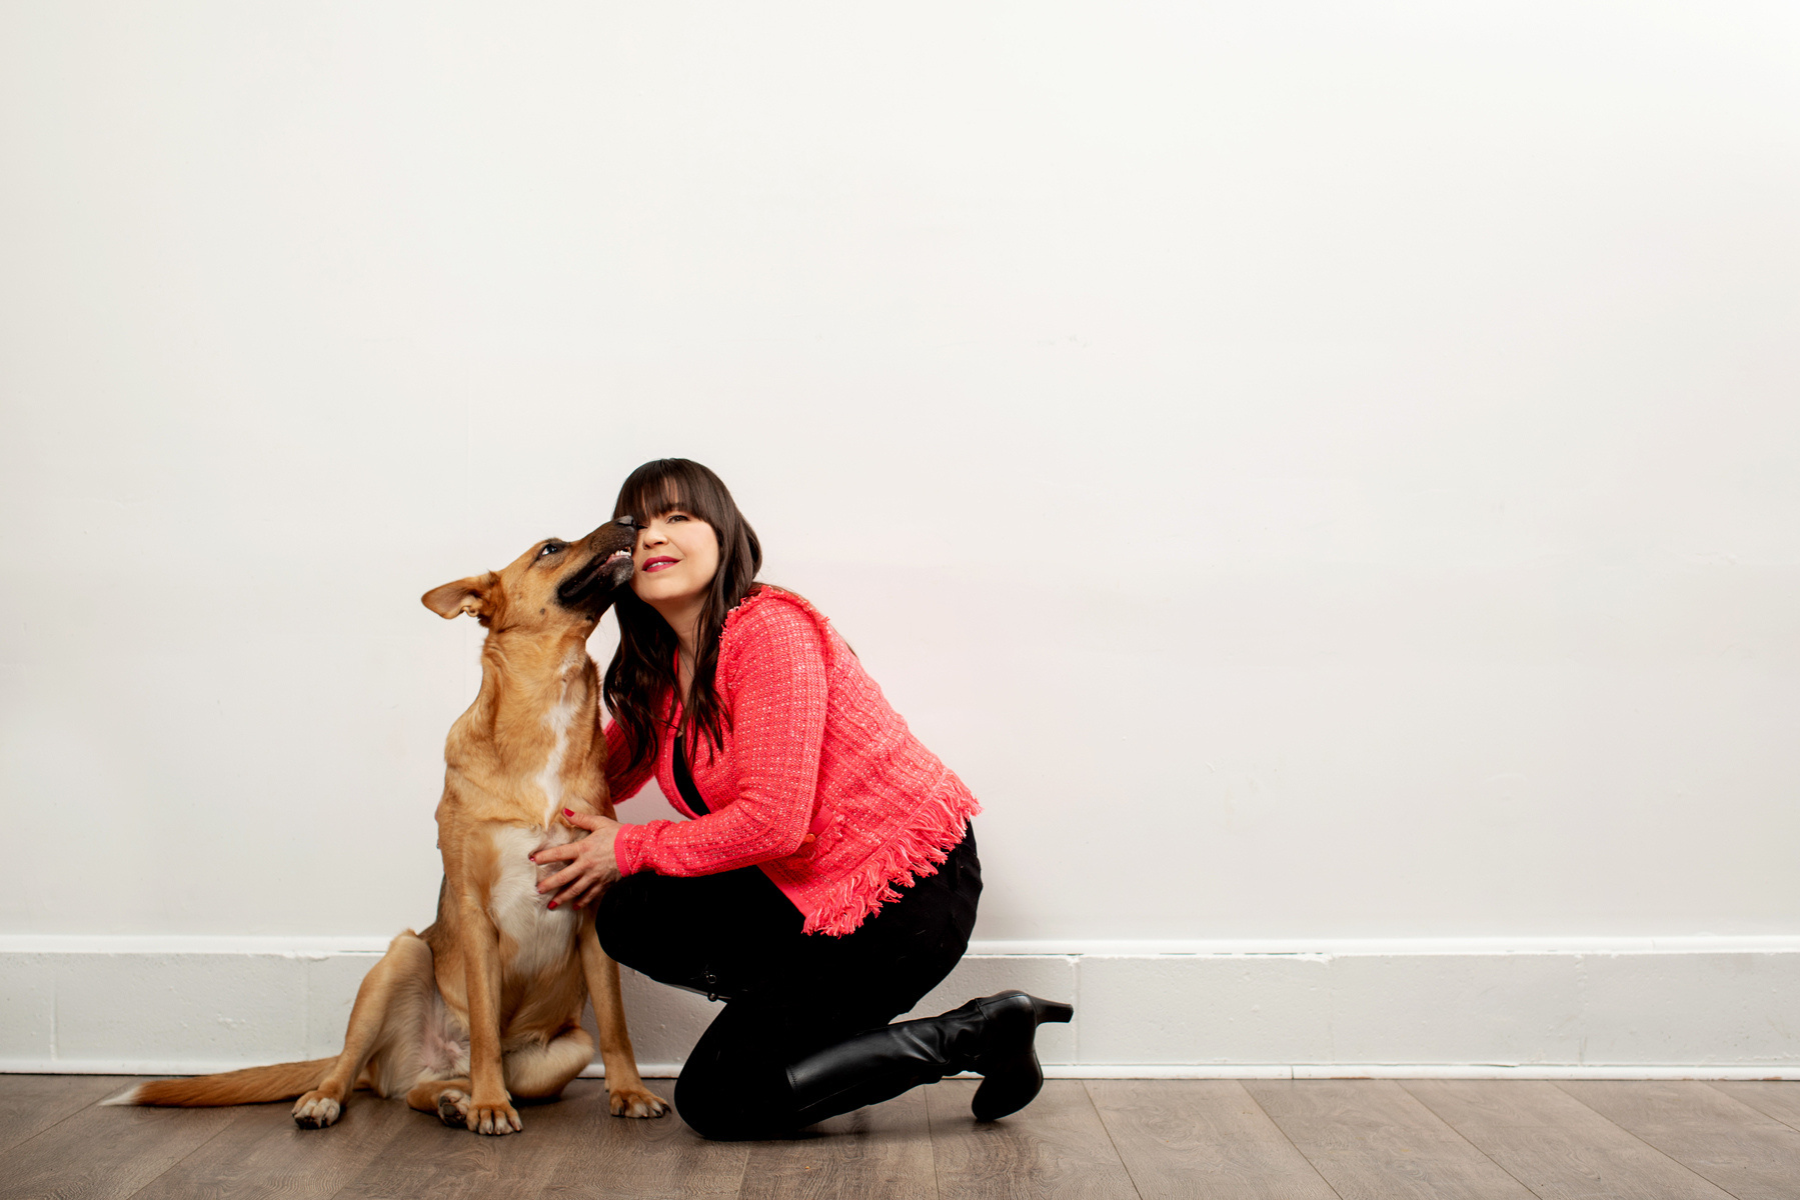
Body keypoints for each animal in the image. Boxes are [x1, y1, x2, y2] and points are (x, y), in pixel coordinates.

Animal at [112, 518, 676, 1137]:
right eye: (550, 549)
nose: (631, 522)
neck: (545, 702)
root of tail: (420, 1061)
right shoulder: (474, 912)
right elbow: (485, 1026)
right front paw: (490, 1104)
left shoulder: (593, 912)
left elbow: (616, 1025)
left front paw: (628, 1091)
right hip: (399, 960)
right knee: (353, 1065)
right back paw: (352, 1099)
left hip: (564, 1052)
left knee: (427, 1092)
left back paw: (454, 1101)